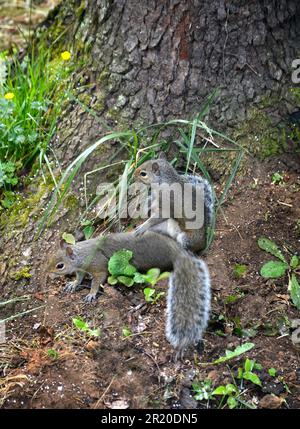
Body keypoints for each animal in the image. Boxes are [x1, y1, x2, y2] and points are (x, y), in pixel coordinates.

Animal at [47, 231, 211, 358]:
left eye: (60, 266)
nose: (49, 275)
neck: (82, 255)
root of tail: (178, 252)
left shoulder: (97, 266)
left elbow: (97, 281)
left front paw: (91, 294)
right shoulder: (81, 270)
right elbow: (80, 277)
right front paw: (73, 284)